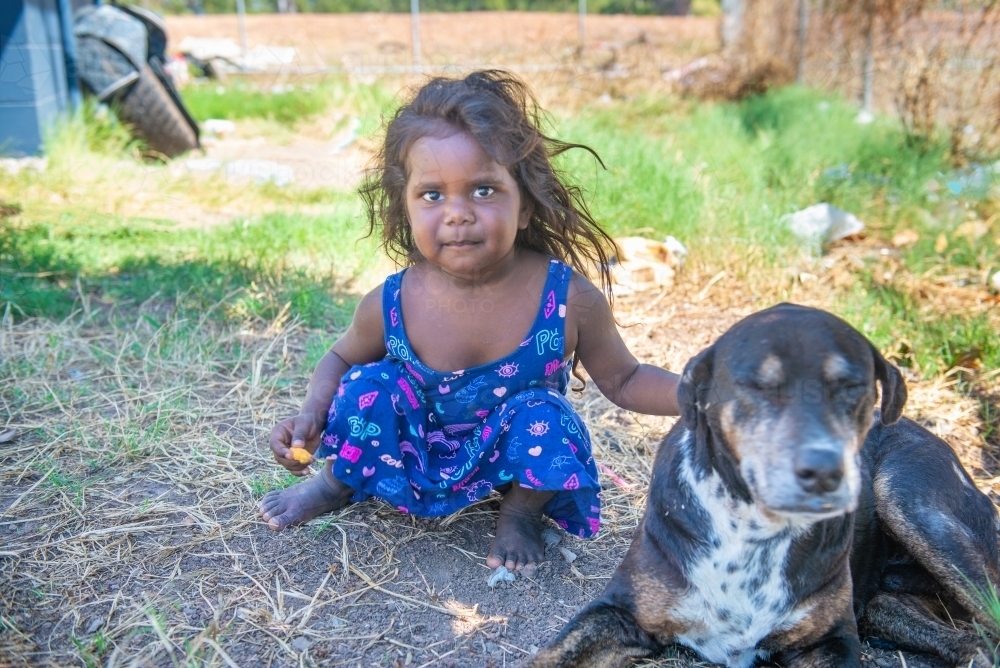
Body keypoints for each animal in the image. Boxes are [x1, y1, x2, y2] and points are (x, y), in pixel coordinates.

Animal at [528, 304, 996, 668]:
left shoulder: (831, 641)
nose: (824, 470)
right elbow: (551, 654)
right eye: (759, 385)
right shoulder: (620, 613)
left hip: (908, 497)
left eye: (852, 387)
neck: (754, 528)